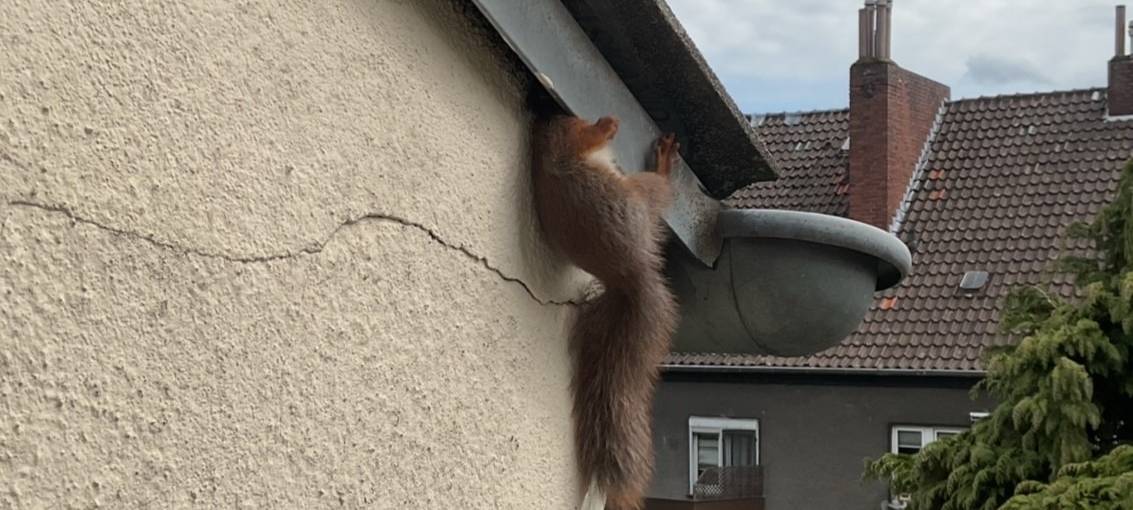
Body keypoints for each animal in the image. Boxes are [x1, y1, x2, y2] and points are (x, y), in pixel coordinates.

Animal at [531, 114, 679, 510]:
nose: (567, 115)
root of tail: (628, 277)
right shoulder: (566, 142)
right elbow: (584, 137)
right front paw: (606, 124)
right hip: (639, 195)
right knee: (661, 187)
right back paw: (665, 162)